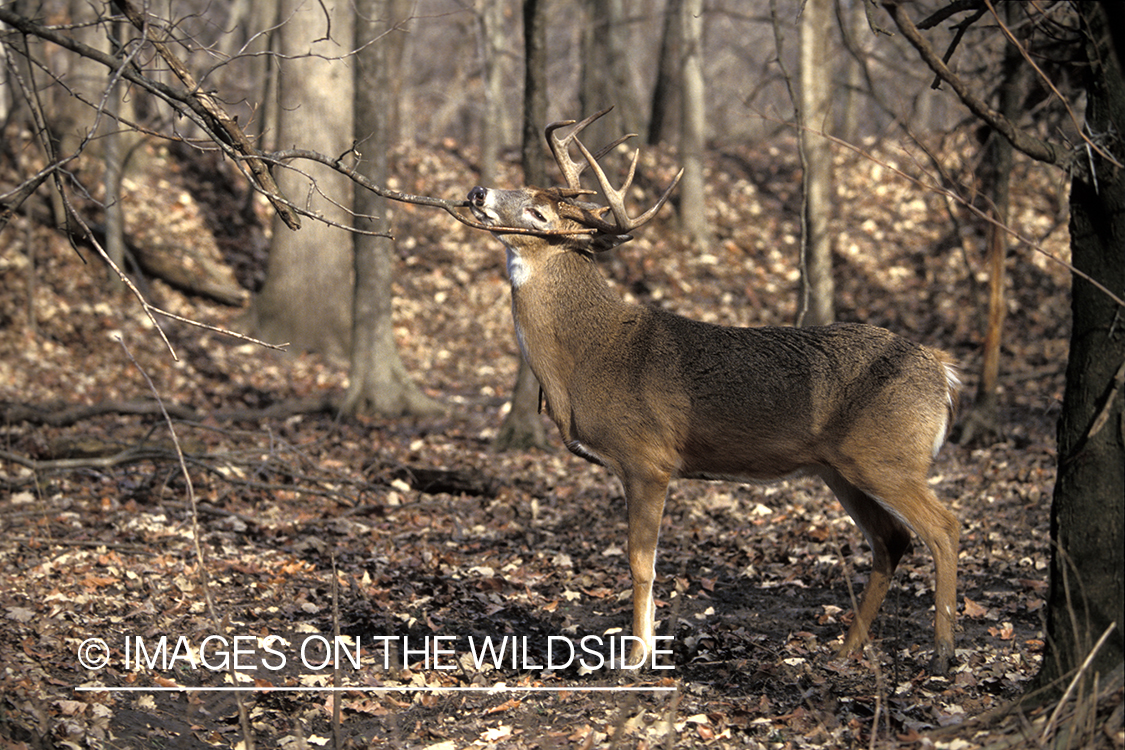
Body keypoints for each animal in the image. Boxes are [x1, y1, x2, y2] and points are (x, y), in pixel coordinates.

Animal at [466, 109, 962, 675]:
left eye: (539, 212)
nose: (478, 191)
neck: (588, 356)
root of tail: (942, 371)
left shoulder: (649, 458)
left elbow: (641, 564)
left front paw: (636, 657)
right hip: (840, 468)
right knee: (891, 541)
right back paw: (846, 648)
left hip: (888, 457)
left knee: (944, 529)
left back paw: (943, 652)